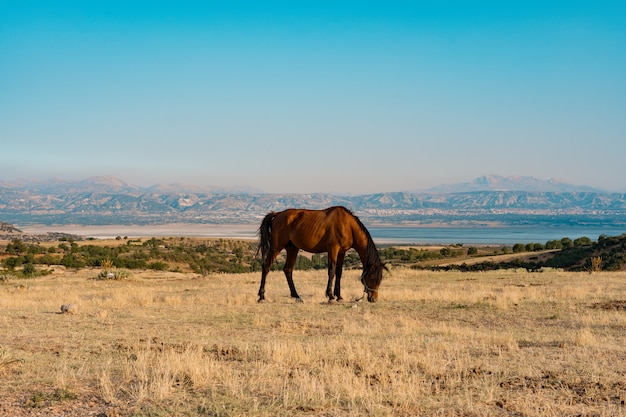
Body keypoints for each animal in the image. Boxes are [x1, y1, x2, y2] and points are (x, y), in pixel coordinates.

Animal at [255, 206, 386, 300]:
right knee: (266, 267)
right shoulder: (333, 249)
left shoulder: (342, 252)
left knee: (288, 270)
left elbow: (339, 272)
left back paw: (296, 295)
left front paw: (339, 296)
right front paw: (330, 295)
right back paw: (261, 296)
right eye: (372, 278)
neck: (347, 225)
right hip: (276, 247)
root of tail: (277, 214)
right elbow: (331, 271)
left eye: (380, 279)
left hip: (292, 249)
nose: (374, 299)